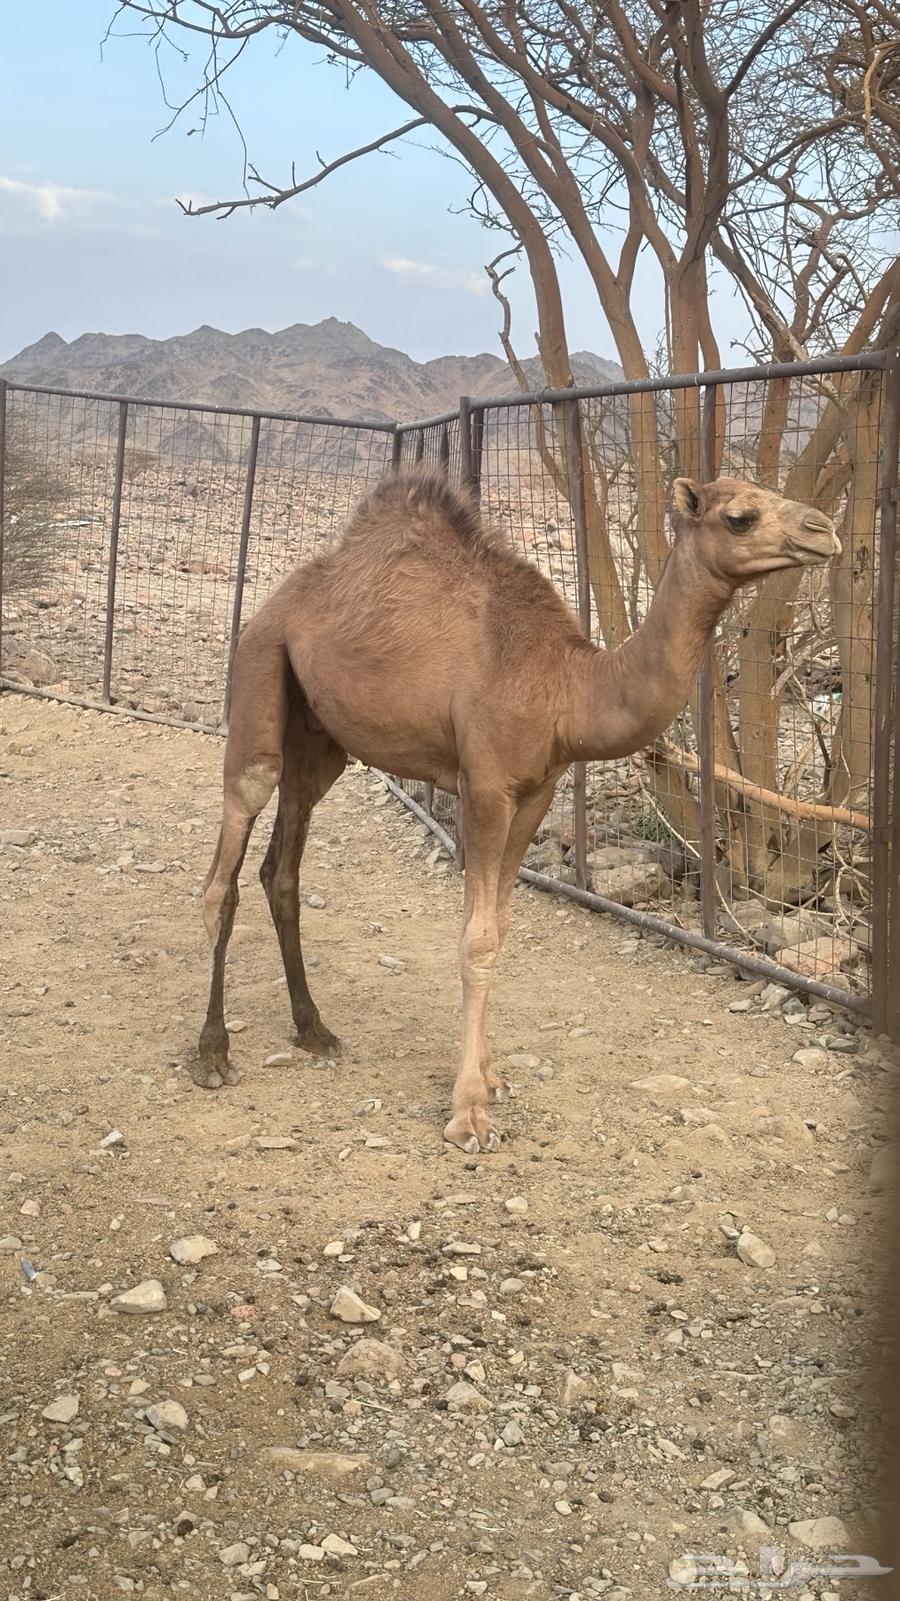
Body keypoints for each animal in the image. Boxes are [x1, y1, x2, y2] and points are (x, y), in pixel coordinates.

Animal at [196, 469, 839, 1152]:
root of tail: (277, 604)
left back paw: (314, 1029)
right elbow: (476, 940)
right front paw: (468, 1112)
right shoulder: (484, 786)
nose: (823, 529)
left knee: (282, 865)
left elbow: (500, 928)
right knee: (227, 859)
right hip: (261, 667)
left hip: (319, 736)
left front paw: (491, 1079)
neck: (565, 686)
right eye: (741, 516)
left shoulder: (537, 793)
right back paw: (212, 1053)